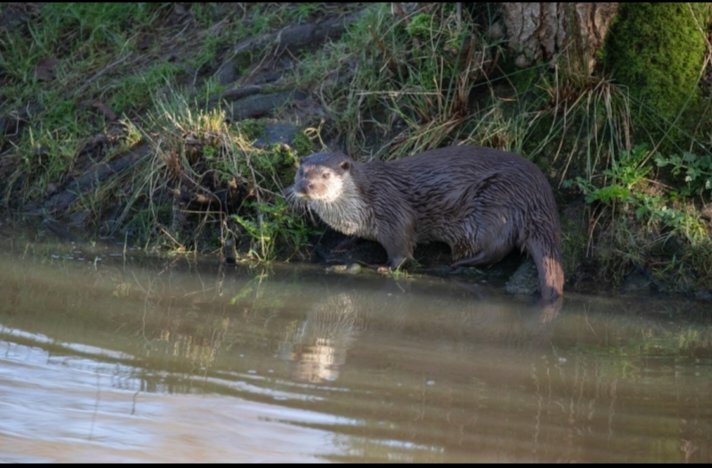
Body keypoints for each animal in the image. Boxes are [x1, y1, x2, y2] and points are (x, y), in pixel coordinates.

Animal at [289, 145, 564, 302]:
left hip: (494, 205)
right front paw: (342, 245)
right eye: (302, 172)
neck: (355, 208)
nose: (305, 186)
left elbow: (402, 248)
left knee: (497, 248)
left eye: (326, 174)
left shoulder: (391, 210)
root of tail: (539, 195)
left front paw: (386, 267)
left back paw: (458, 263)